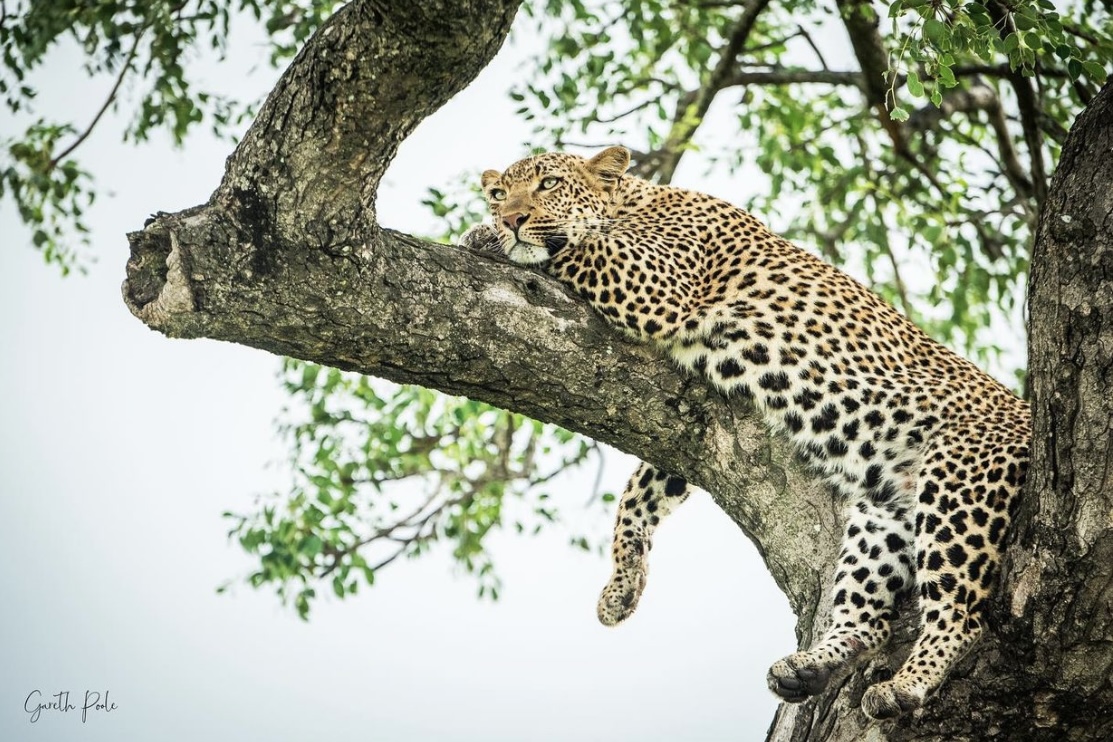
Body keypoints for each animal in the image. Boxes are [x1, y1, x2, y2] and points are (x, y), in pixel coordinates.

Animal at [464, 145, 1031, 721]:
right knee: (867, 622)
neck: (634, 202)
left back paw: (907, 684)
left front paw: (485, 237)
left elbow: (576, 247)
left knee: (959, 613)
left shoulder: (656, 278)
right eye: (498, 193)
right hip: (883, 511)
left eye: (549, 184)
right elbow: (637, 495)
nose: (509, 217)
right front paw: (621, 587)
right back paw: (809, 666)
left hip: (958, 480)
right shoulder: (682, 421)